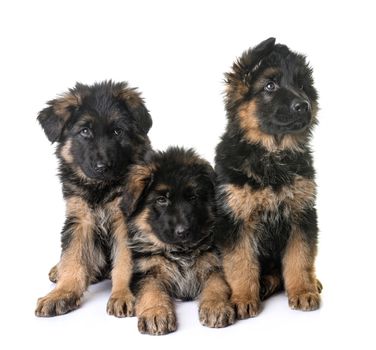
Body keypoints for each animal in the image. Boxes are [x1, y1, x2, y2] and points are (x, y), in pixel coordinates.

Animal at [34, 81, 152, 318]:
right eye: (85, 131)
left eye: (117, 131)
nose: (102, 167)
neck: (100, 189)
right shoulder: (79, 219)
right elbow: (72, 257)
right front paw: (62, 293)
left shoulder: (124, 223)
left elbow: (124, 261)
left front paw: (122, 294)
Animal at [122, 146, 235, 334]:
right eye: (161, 200)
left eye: (193, 197)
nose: (184, 232)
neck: (180, 252)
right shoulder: (146, 272)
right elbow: (151, 292)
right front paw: (156, 313)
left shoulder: (215, 266)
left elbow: (217, 286)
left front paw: (216, 306)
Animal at [214, 39, 324, 320]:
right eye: (270, 86)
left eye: (302, 85)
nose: (304, 105)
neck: (272, 154)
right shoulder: (236, 220)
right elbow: (240, 263)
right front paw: (243, 298)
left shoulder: (302, 214)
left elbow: (300, 258)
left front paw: (303, 291)